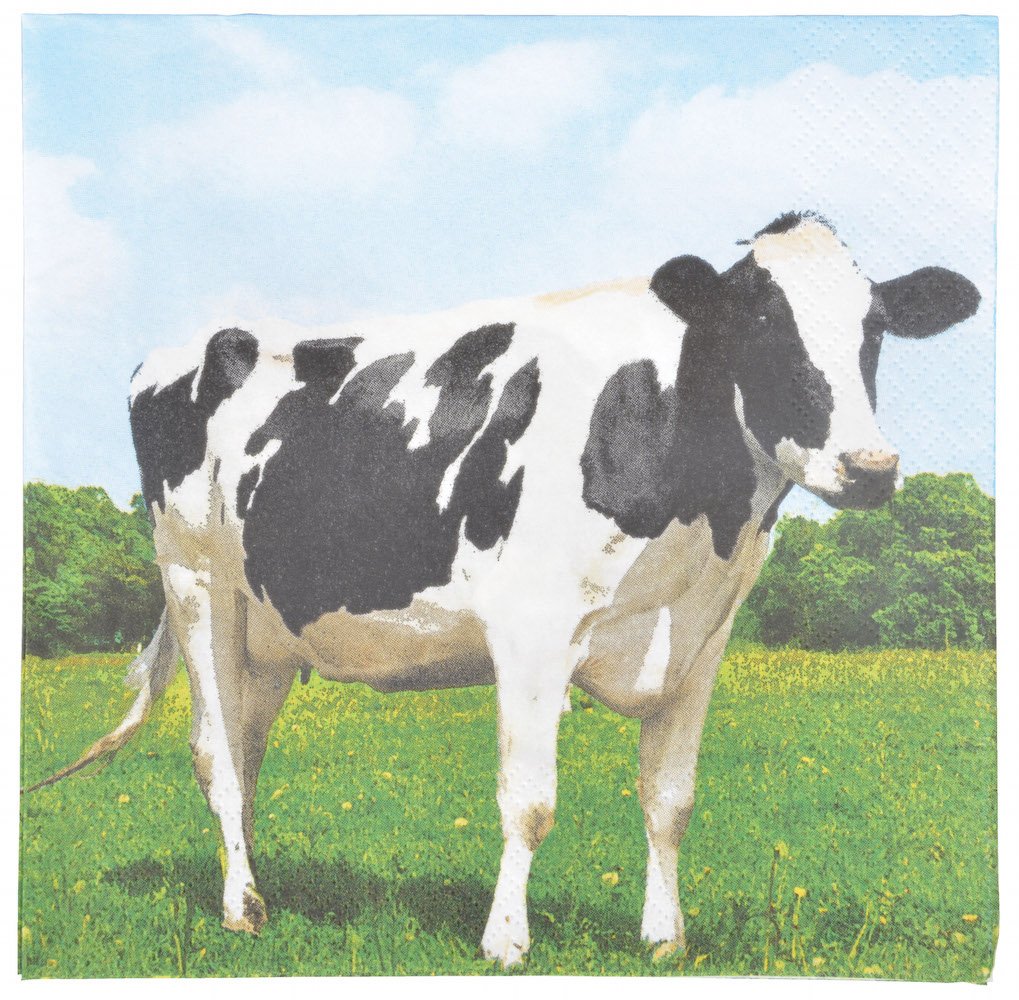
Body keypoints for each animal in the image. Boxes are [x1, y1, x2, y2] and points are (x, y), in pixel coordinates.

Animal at [29, 211, 980, 966]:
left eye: (873, 330)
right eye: (761, 323)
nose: (869, 468)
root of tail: (187, 345)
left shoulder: (700, 640)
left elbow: (670, 801)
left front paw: (665, 939)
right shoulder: (532, 629)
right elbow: (529, 802)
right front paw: (505, 942)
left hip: (267, 633)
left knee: (247, 749)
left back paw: (258, 885)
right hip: (197, 586)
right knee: (216, 755)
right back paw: (240, 909)